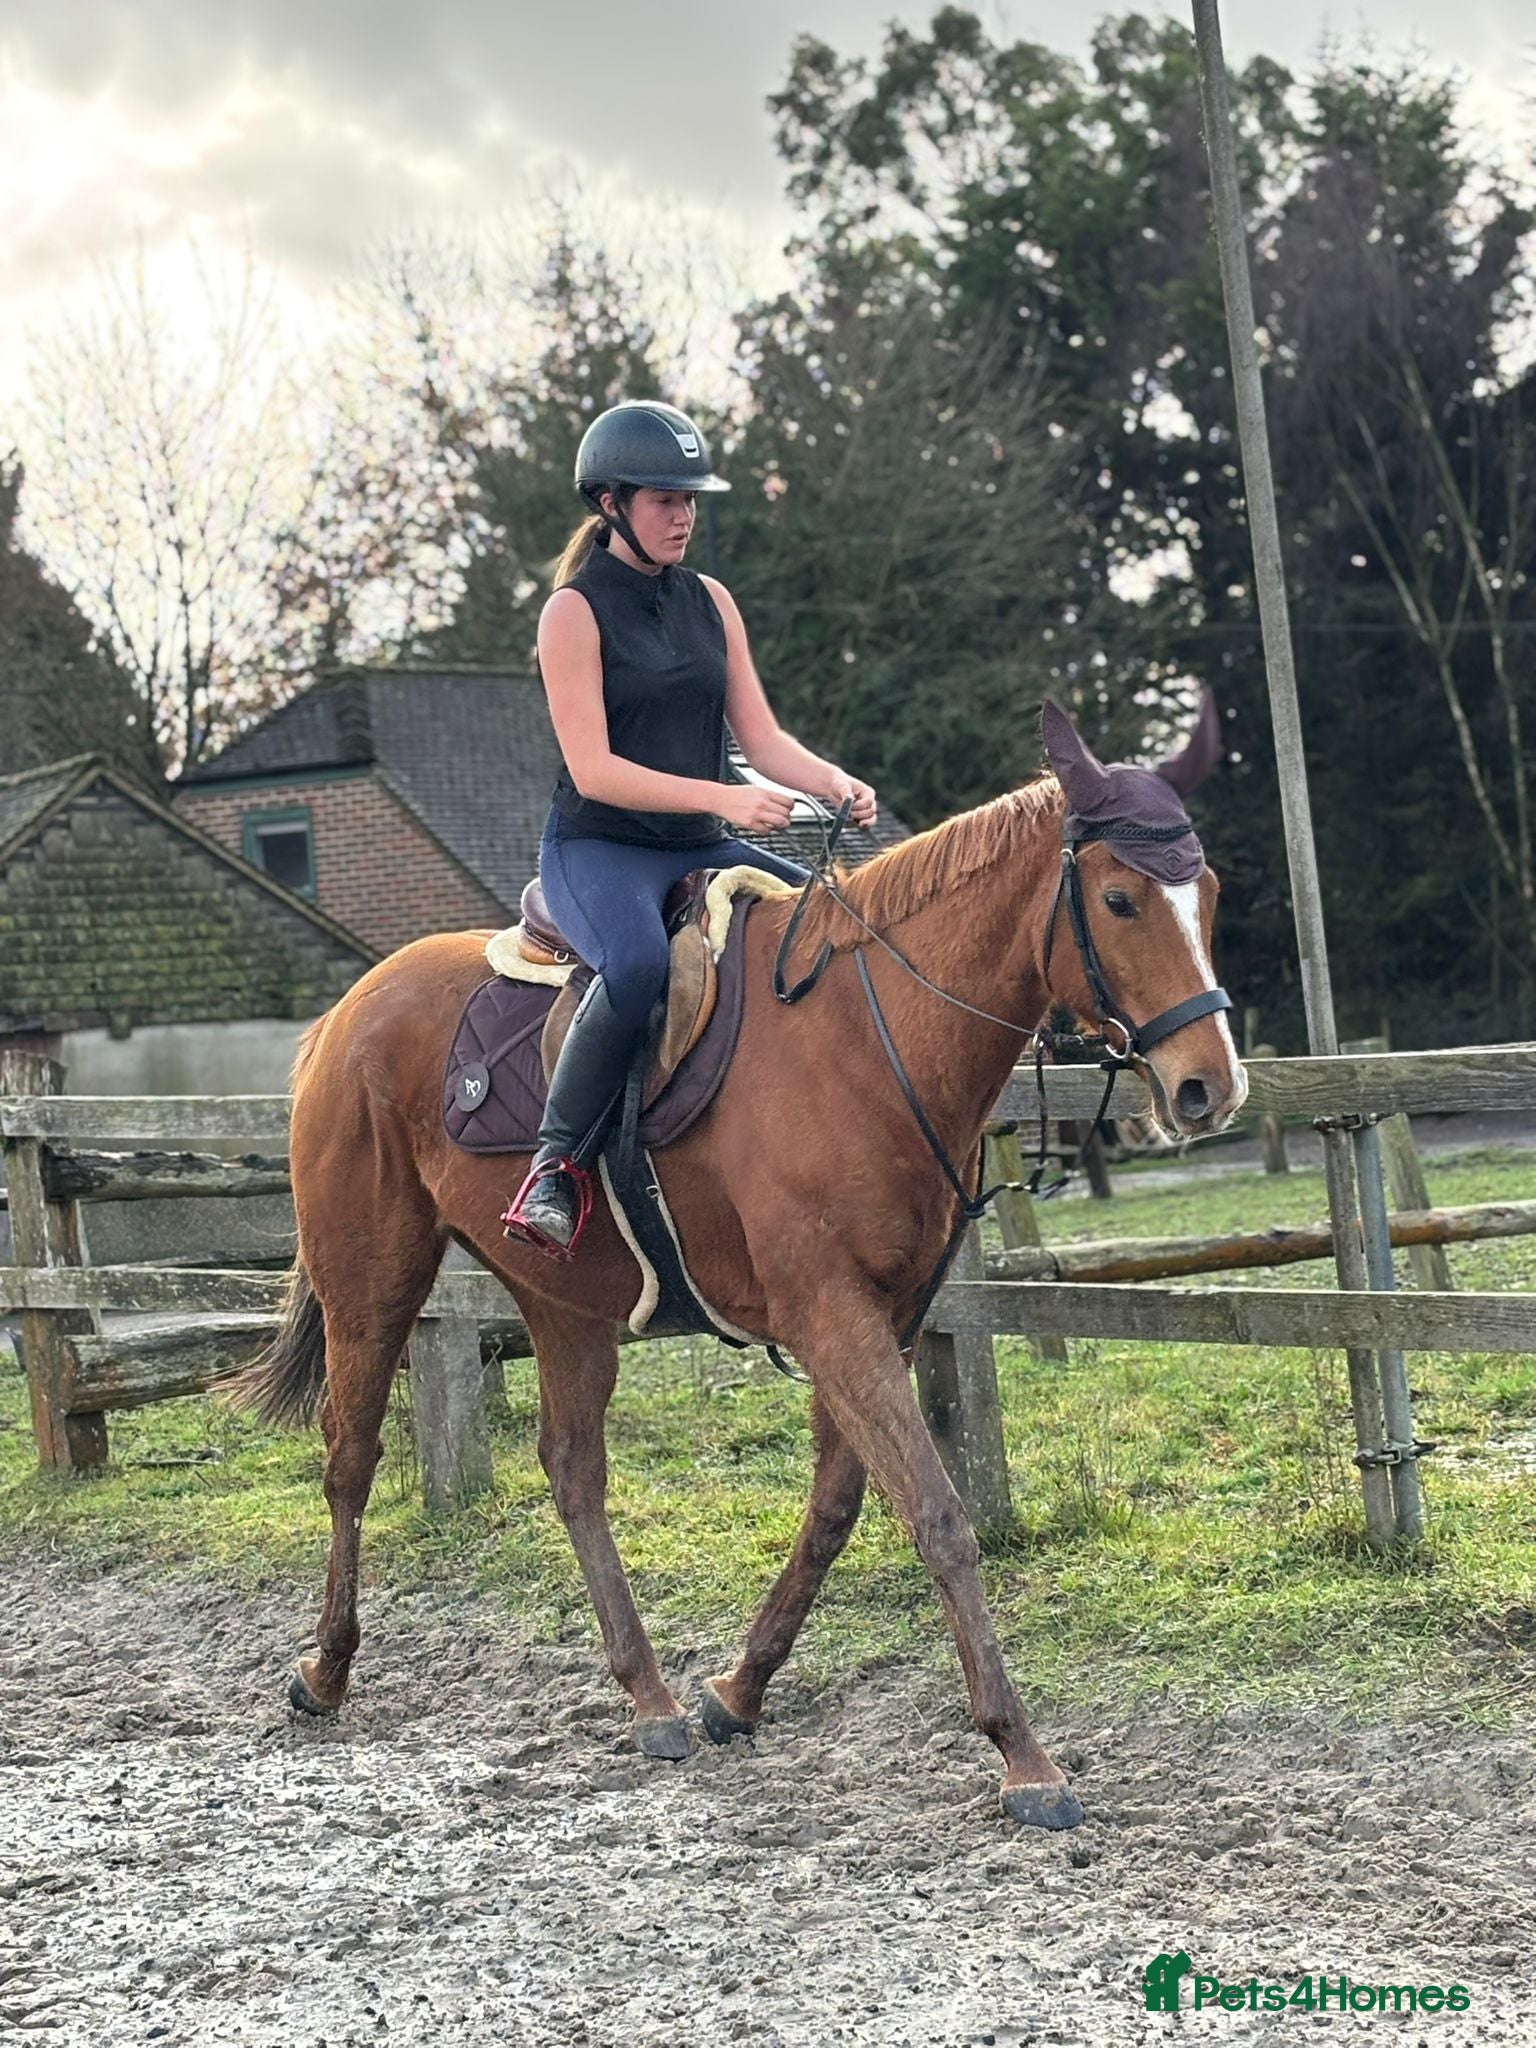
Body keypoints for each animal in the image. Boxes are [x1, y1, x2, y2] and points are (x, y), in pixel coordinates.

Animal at [228, 700, 1246, 1832]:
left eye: (1206, 892)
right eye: (1118, 898)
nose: (1208, 1088)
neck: (869, 1037)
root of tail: (343, 1014)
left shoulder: (885, 1317)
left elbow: (838, 1509)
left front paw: (737, 1690)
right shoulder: (830, 1316)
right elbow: (938, 1514)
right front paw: (1024, 1757)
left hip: (562, 1301)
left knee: (572, 1469)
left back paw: (652, 1698)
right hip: (373, 1277)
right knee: (351, 1456)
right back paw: (325, 1669)